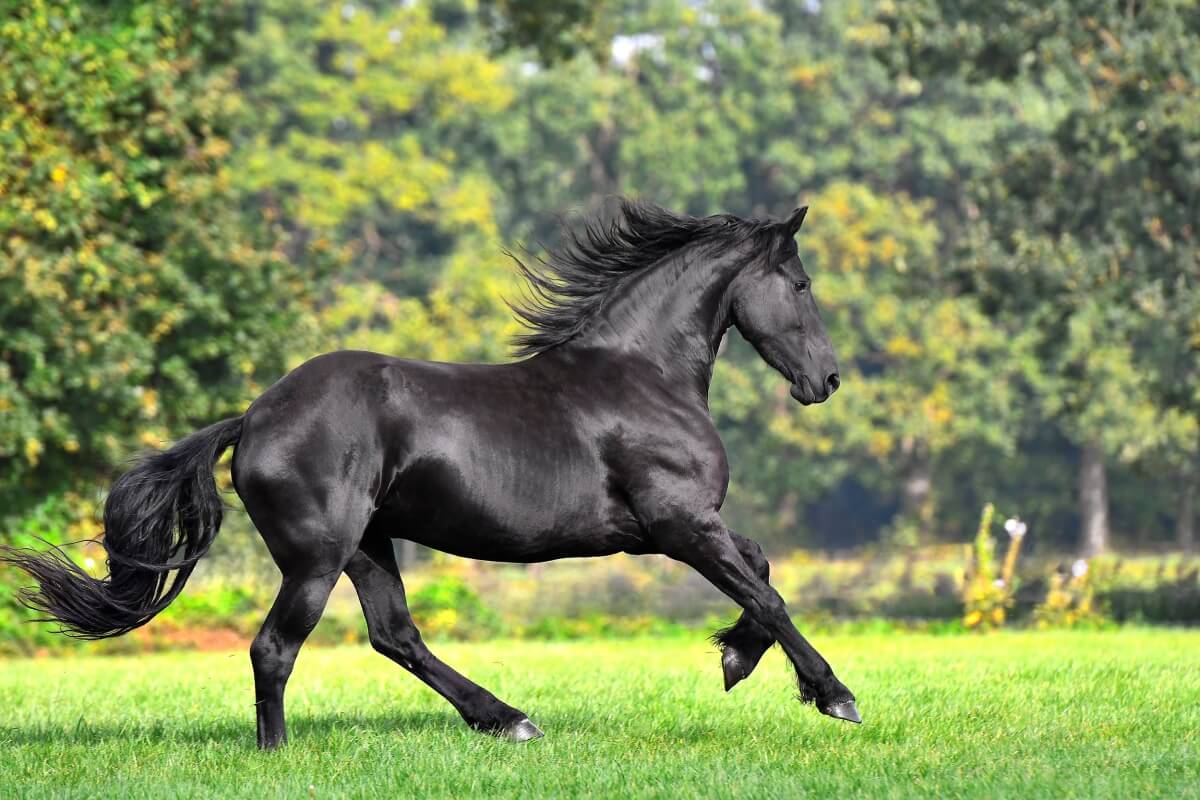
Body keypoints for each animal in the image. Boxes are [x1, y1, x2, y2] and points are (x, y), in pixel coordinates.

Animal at [2, 199, 858, 749]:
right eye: (803, 284)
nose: (828, 380)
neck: (639, 376)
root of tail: (254, 417)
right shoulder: (677, 522)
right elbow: (768, 592)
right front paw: (833, 696)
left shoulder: (674, 526)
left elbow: (760, 569)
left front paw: (735, 659)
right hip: (317, 558)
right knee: (276, 648)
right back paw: (280, 753)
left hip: (369, 546)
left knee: (396, 637)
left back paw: (508, 720)